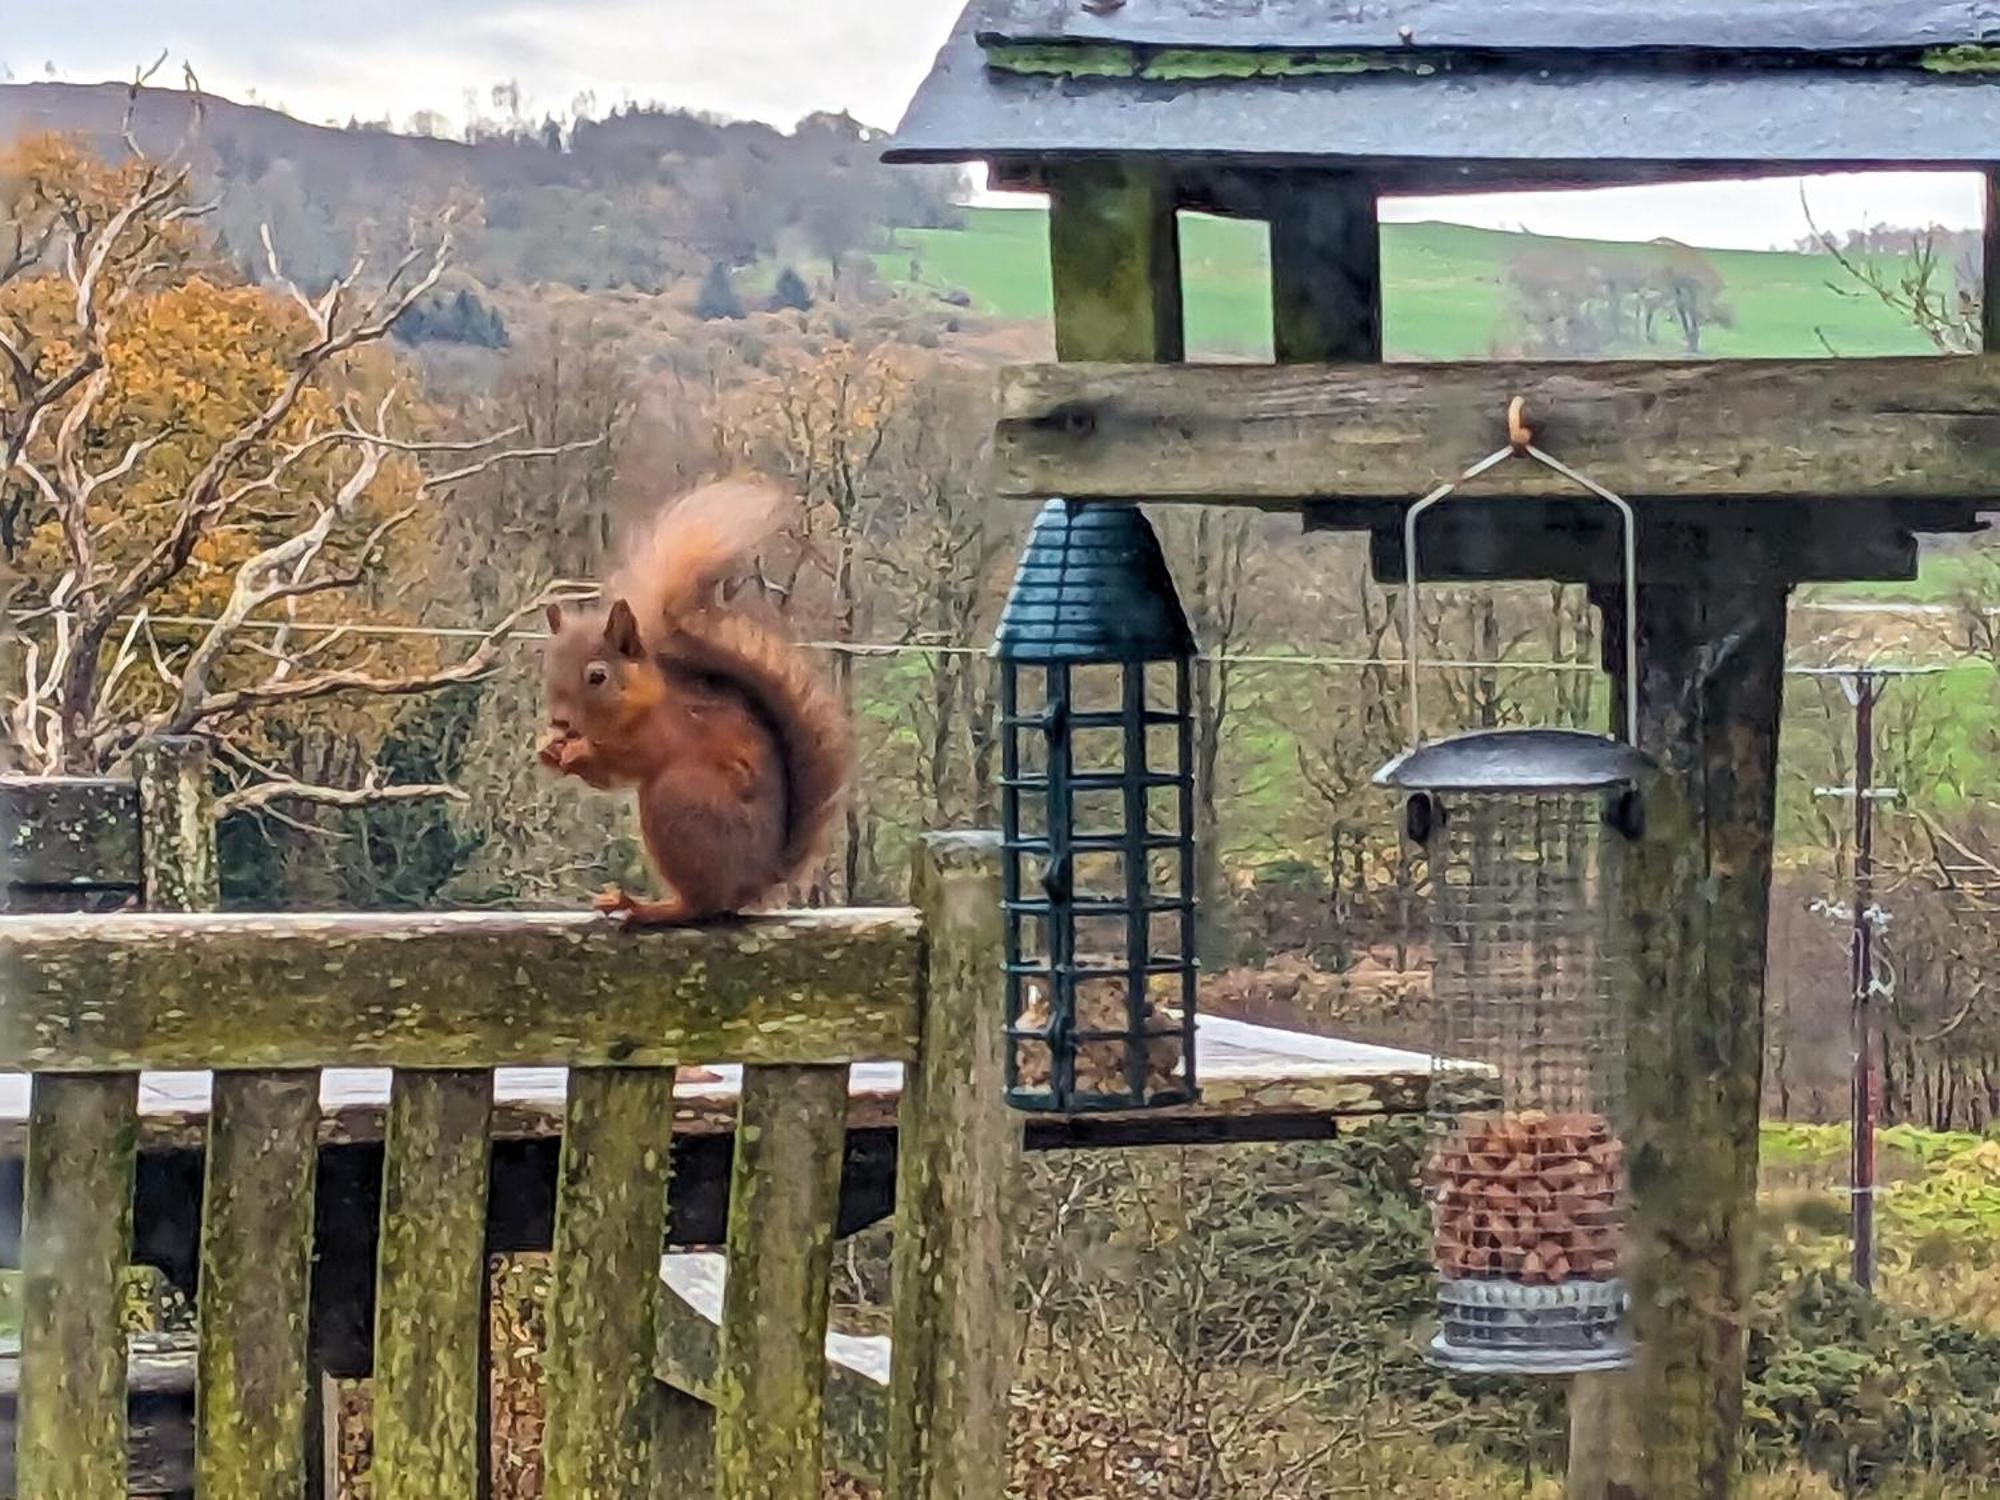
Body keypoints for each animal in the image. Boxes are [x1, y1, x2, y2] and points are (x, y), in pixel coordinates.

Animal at [536, 484, 848, 928]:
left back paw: (643, 907)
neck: (645, 701)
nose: (560, 722)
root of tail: (752, 884)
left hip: (678, 801)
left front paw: (576, 751)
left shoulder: (663, 732)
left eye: (597, 676)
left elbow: (625, 760)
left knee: (699, 905)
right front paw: (547, 748)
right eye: (549, 667)